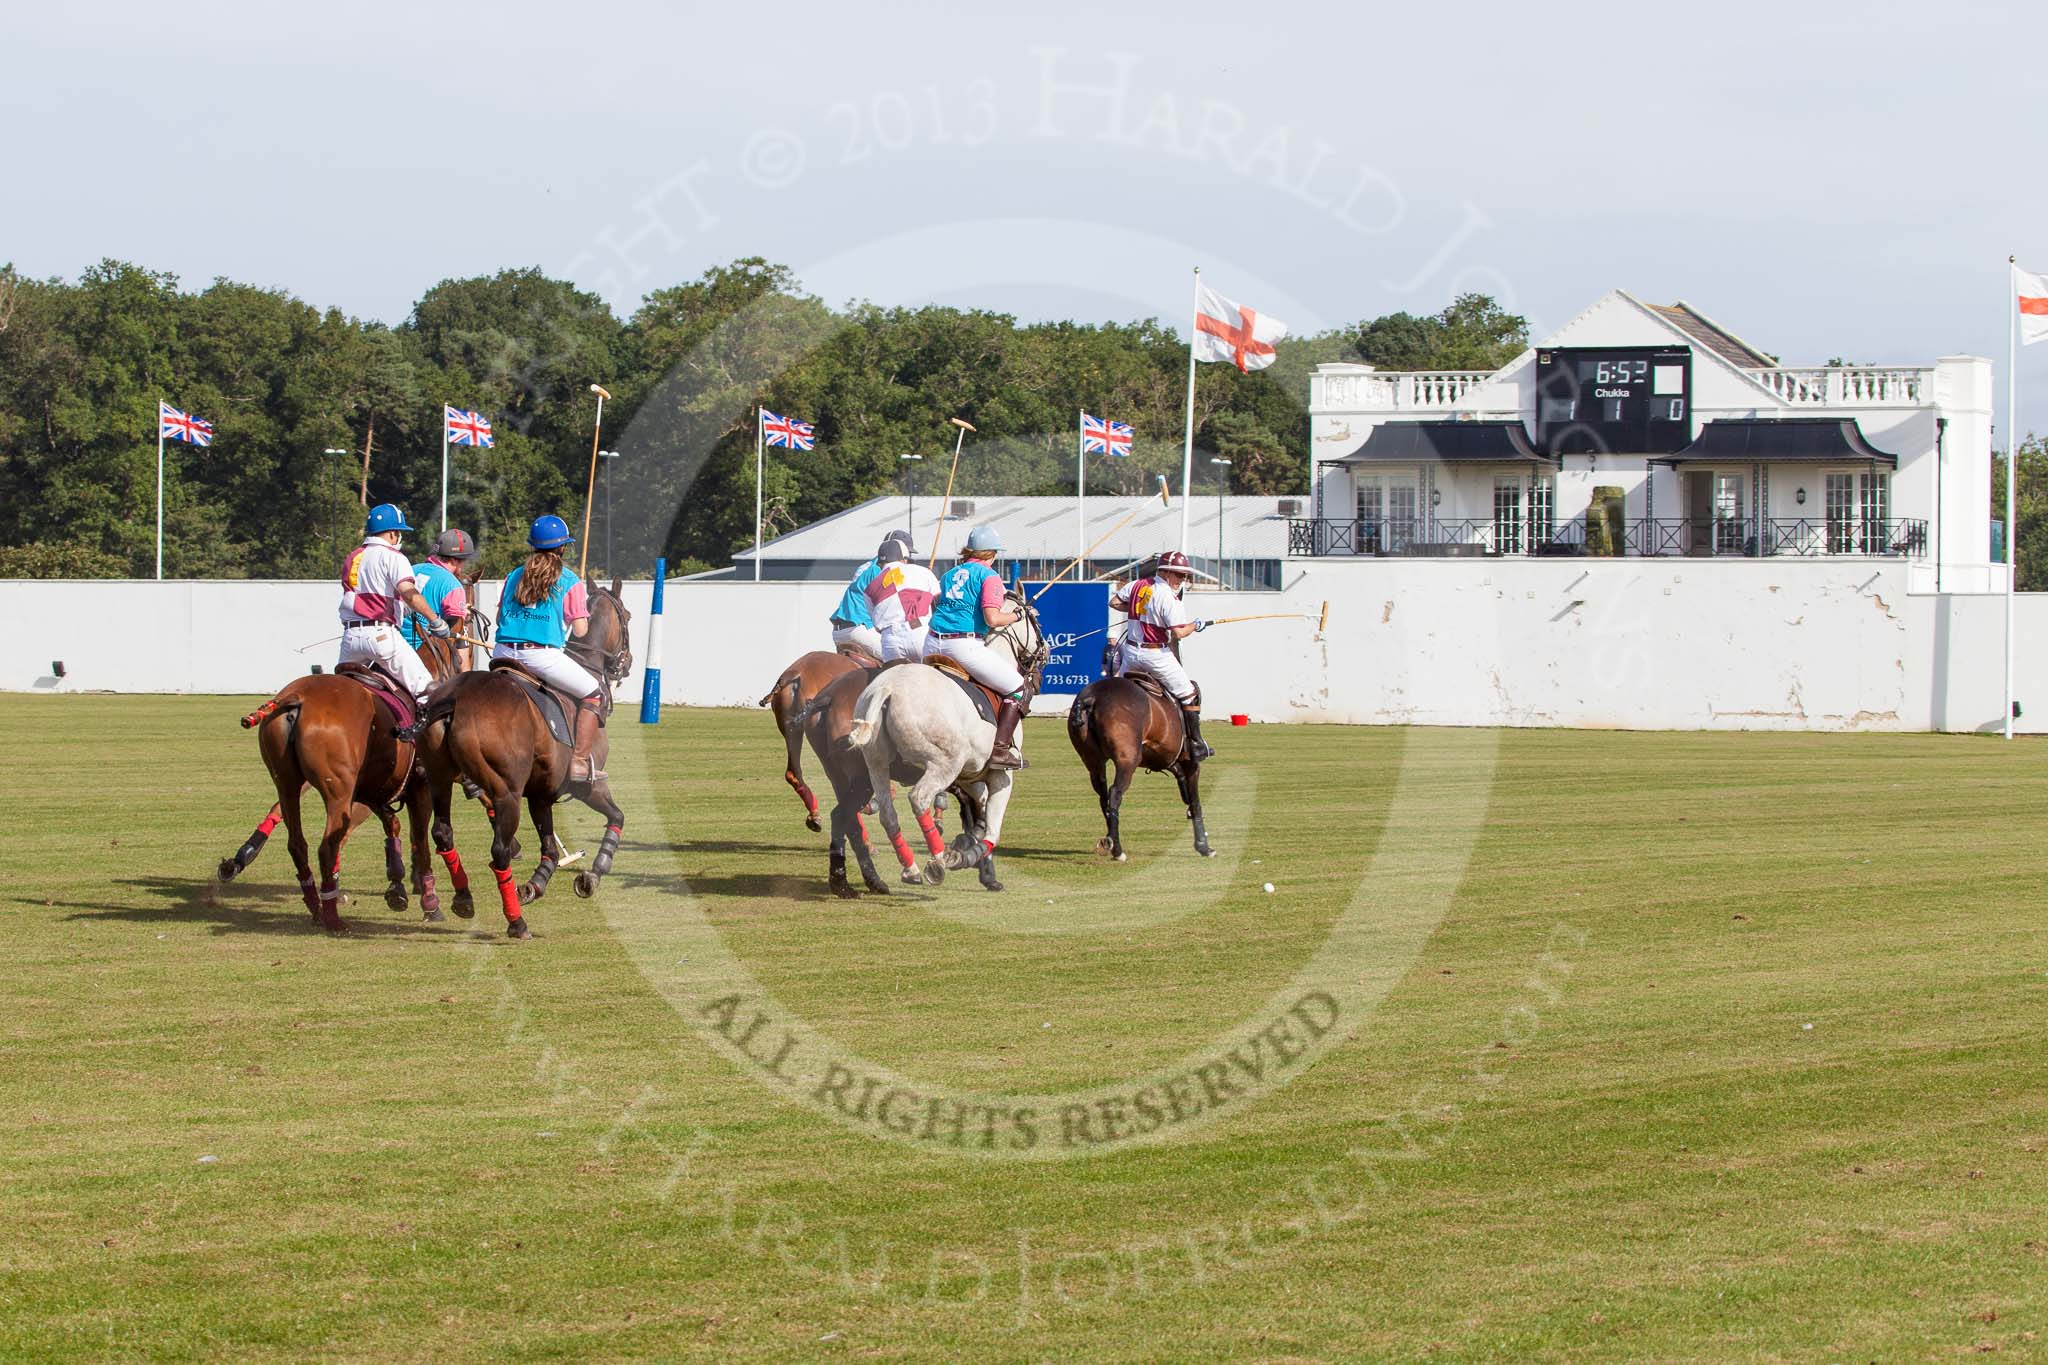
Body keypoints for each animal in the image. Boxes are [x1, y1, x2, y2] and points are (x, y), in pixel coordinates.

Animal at [233, 634, 468, 933]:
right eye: (459, 659)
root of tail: (295, 698)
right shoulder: (419, 786)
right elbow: (420, 842)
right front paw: (430, 905)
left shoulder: (373, 790)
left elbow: (393, 826)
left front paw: (396, 888)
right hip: (338, 791)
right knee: (327, 847)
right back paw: (333, 918)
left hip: (286, 783)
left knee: (297, 843)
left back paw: (315, 906)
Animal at [413, 577, 630, 941]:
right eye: (627, 616)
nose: (626, 664)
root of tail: (455, 700)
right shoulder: (587, 784)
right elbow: (617, 816)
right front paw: (594, 874)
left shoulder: (542, 792)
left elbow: (551, 848)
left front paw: (535, 885)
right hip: (506, 792)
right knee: (499, 851)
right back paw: (516, 922)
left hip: (439, 778)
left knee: (442, 832)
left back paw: (463, 898)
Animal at [843, 601, 1048, 892]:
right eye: (1036, 621)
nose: (1046, 652)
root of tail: (887, 688)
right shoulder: (1001, 776)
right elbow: (992, 831)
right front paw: (967, 856)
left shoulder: (969, 778)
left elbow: (978, 816)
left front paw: (983, 869)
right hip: (944, 761)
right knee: (918, 798)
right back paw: (939, 859)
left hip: (877, 763)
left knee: (888, 813)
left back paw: (911, 867)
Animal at [1064, 663, 1204, 859]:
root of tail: (1092, 699)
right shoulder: (1188, 761)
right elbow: (1195, 800)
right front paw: (1203, 845)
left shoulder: (1162, 758)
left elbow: (1183, 785)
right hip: (1127, 760)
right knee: (1115, 793)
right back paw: (1117, 850)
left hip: (1093, 762)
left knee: (1103, 797)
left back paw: (1109, 840)